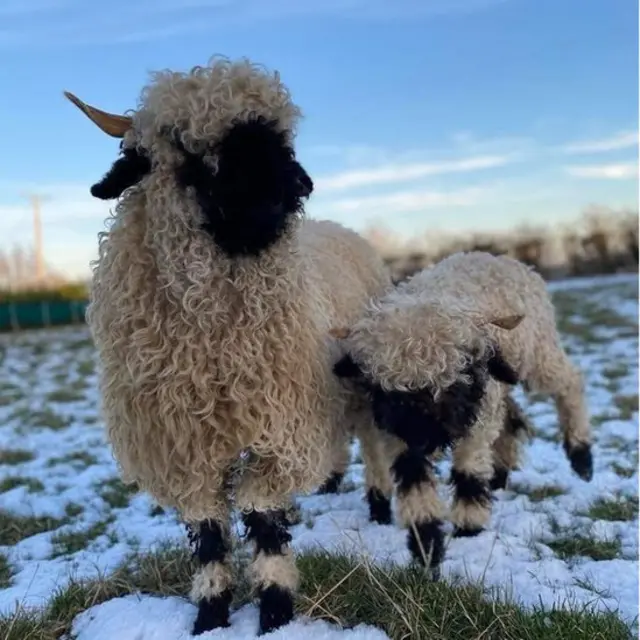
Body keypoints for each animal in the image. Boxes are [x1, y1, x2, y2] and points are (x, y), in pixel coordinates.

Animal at [66, 57, 396, 636]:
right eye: (186, 145)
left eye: (279, 134)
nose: (296, 186)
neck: (213, 343)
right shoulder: (182, 446)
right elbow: (210, 535)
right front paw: (210, 615)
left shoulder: (279, 426)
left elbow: (262, 519)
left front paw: (275, 613)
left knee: (374, 444)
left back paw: (379, 508)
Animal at [330, 250, 596, 576]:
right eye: (388, 391)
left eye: (457, 381)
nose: (423, 439)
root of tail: (495, 256)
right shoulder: (393, 431)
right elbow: (413, 478)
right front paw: (427, 546)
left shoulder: (475, 422)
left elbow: (468, 470)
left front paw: (468, 526)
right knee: (511, 417)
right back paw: (501, 475)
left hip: (540, 353)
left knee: (570, 382)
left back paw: (582, 458)